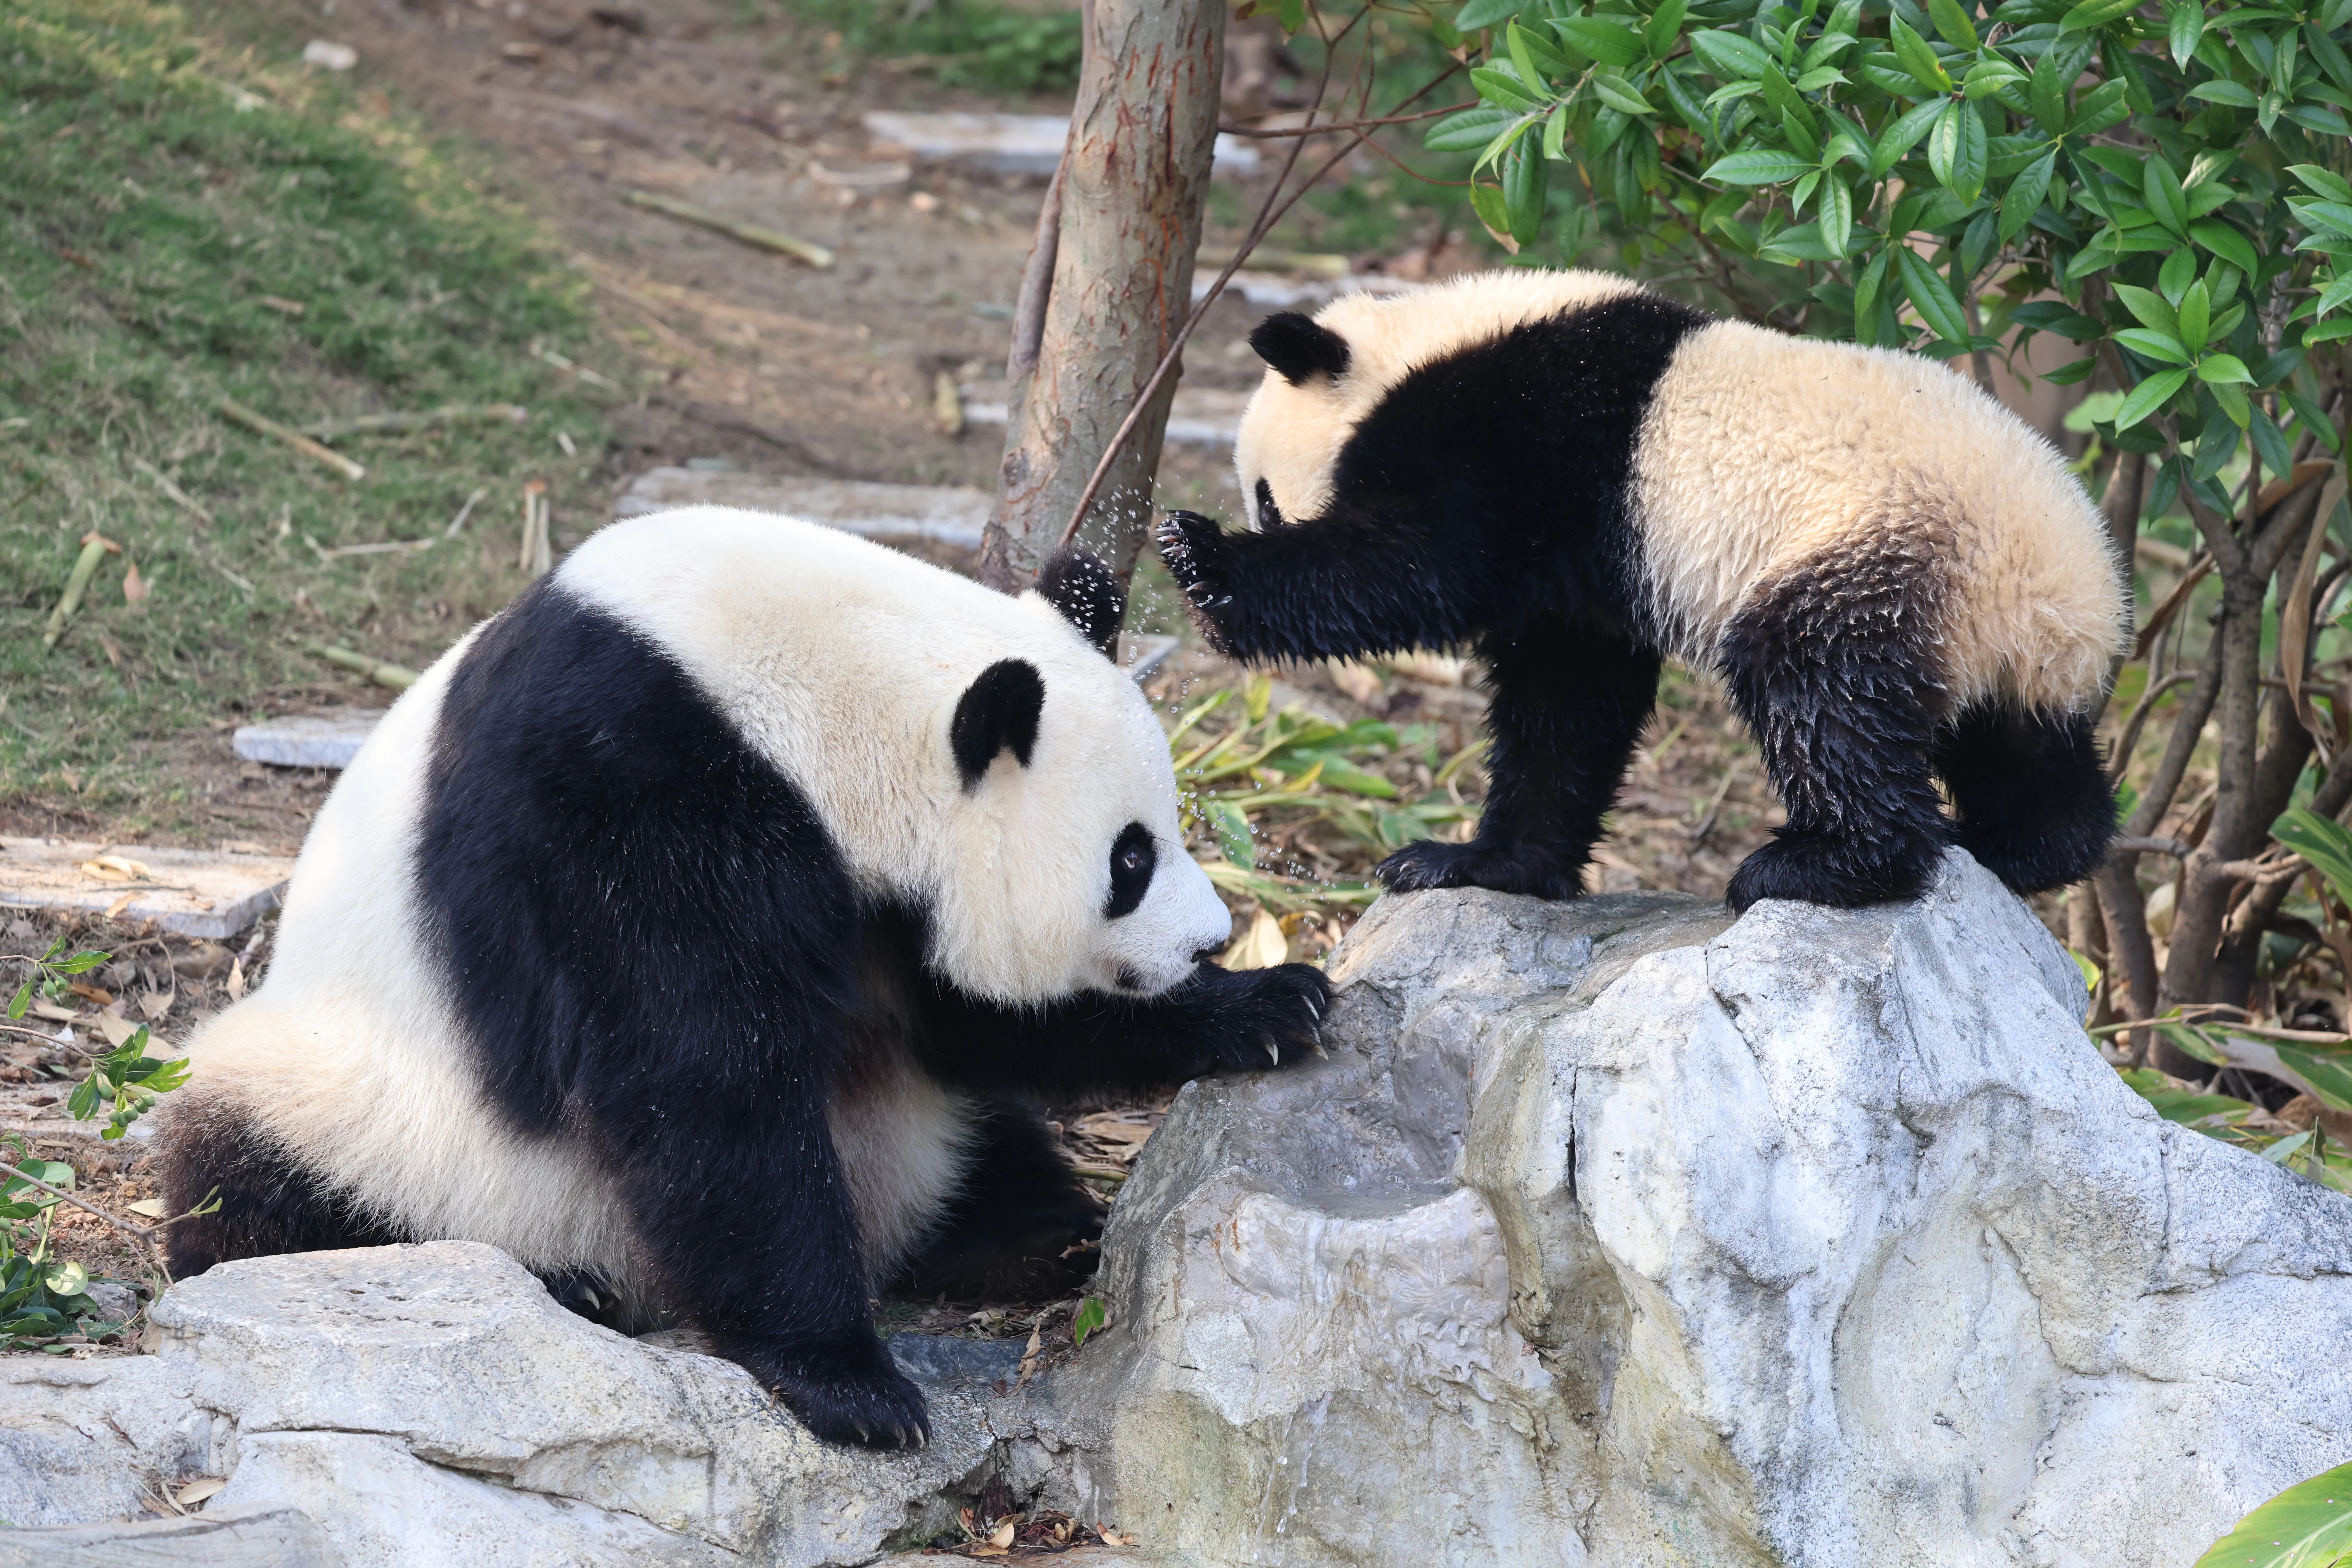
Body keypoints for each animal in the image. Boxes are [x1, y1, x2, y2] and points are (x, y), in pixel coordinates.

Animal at [153, 505, 1330, 1451]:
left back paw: (1032, 1232)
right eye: (1129, 859)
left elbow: (971, 1022)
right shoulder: (623, 791)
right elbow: (701, 1081)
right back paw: (569, 1283)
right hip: (377, 1102)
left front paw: (1270, 1005)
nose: (1207, 940)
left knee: (980, 1132)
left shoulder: (871, 896)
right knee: (256, 1188)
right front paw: (850, 1386)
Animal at [1156, 269, 2130, 912]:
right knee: (2015, 744)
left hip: (1875, 549)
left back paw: (1821, 867)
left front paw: (1202, 561)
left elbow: (1410, 564)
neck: (1414, 346)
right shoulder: (1581, 563)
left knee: (1820, 686)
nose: (1261, 516)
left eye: (1267, 498)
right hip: (1989, 635)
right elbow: (1568, 699)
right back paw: (2023, 847)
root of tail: (2075, 597)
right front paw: (1481, 864)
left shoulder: (1516, 436)